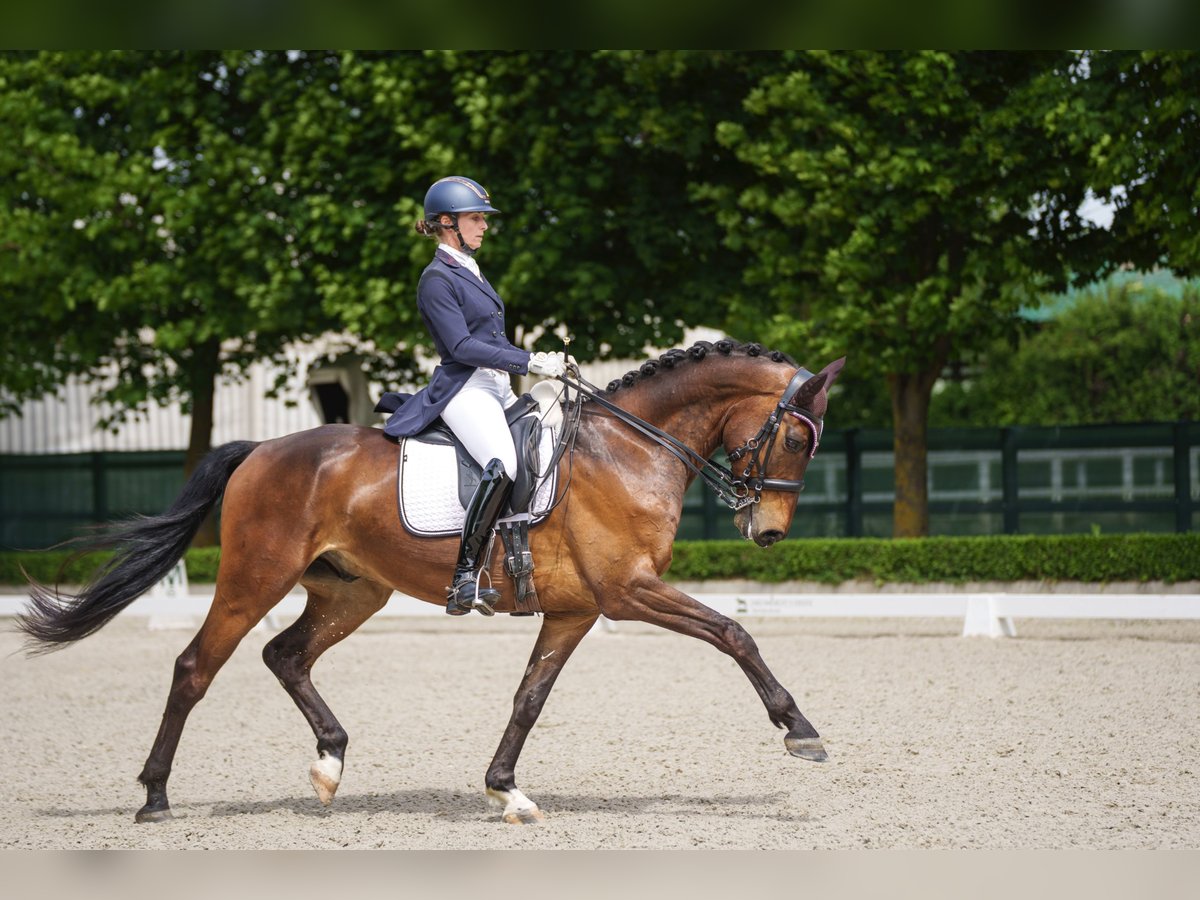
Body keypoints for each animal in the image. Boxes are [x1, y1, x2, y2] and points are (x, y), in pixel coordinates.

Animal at [18, 340, 844, 830]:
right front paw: (800, 729)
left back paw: (329, 763)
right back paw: (155, 796)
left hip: (352, 590)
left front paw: (506, 788)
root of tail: (261, 450)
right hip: (256, 577)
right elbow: (734, 631)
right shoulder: (627, 591)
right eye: (795, 436)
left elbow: (529, 698)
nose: (768, 533)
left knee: (286, 656)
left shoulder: (577, 610)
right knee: (196, 666)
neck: (629, 448)